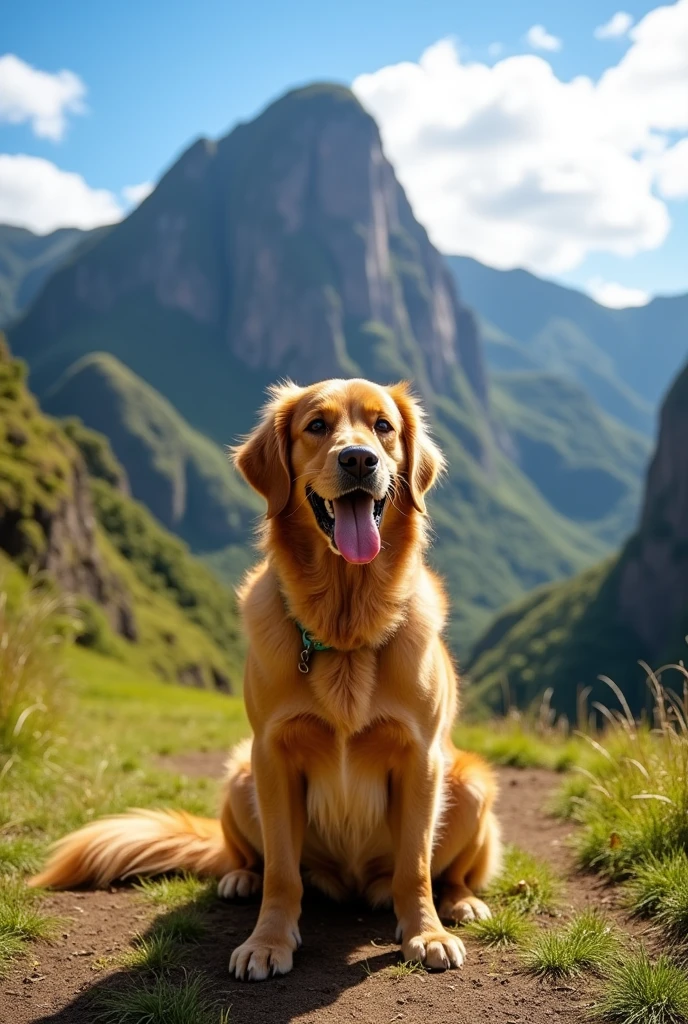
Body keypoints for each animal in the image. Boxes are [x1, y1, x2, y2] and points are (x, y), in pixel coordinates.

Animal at [30, 378, 499, 983]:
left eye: (383, 427)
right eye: (317, 426)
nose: (359, 459)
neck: (344, 629)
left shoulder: (422, 759)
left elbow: (414, 866)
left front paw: (427, 932)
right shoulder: (272, 755)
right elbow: (282, 870)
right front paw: (268, 941)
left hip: (469, 783)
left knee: (450, 872)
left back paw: (461, 902)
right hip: (240, 775)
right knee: (249, 858)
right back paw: (240, 878)